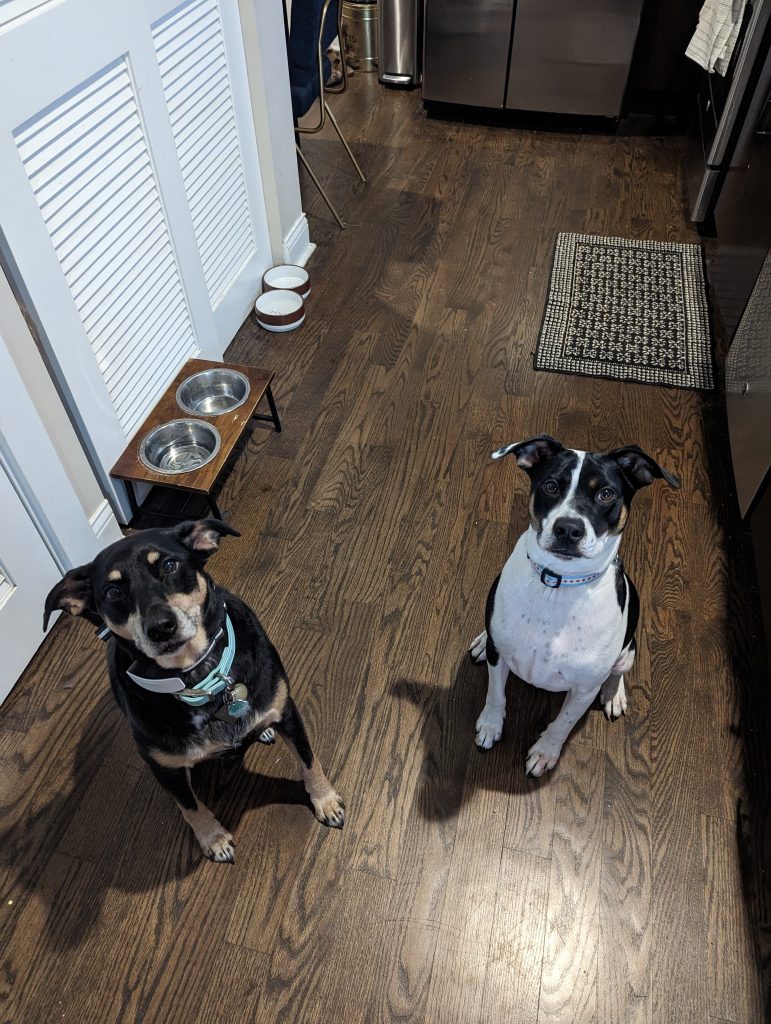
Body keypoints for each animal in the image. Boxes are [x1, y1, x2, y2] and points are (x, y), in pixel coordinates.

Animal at [42, 520, 341, 864]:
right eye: (112, 591)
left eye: (170, 565)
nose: (160, 627)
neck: (200, 678)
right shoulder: (163, 766)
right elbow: (190, 807)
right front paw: (214, 839)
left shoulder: (287, 710)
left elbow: (309, 761)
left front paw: (326, 801)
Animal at [468, 436, 679, 778]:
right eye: (551, 486)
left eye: (606, 493)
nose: (568, 528)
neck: (557, 586)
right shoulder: (499, 657)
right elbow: (495, 694)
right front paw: (490, 725)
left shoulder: (584, 688)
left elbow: (563, 724)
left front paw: (545, 752)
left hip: (628, 651)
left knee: (618, 672)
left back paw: (614, 695)